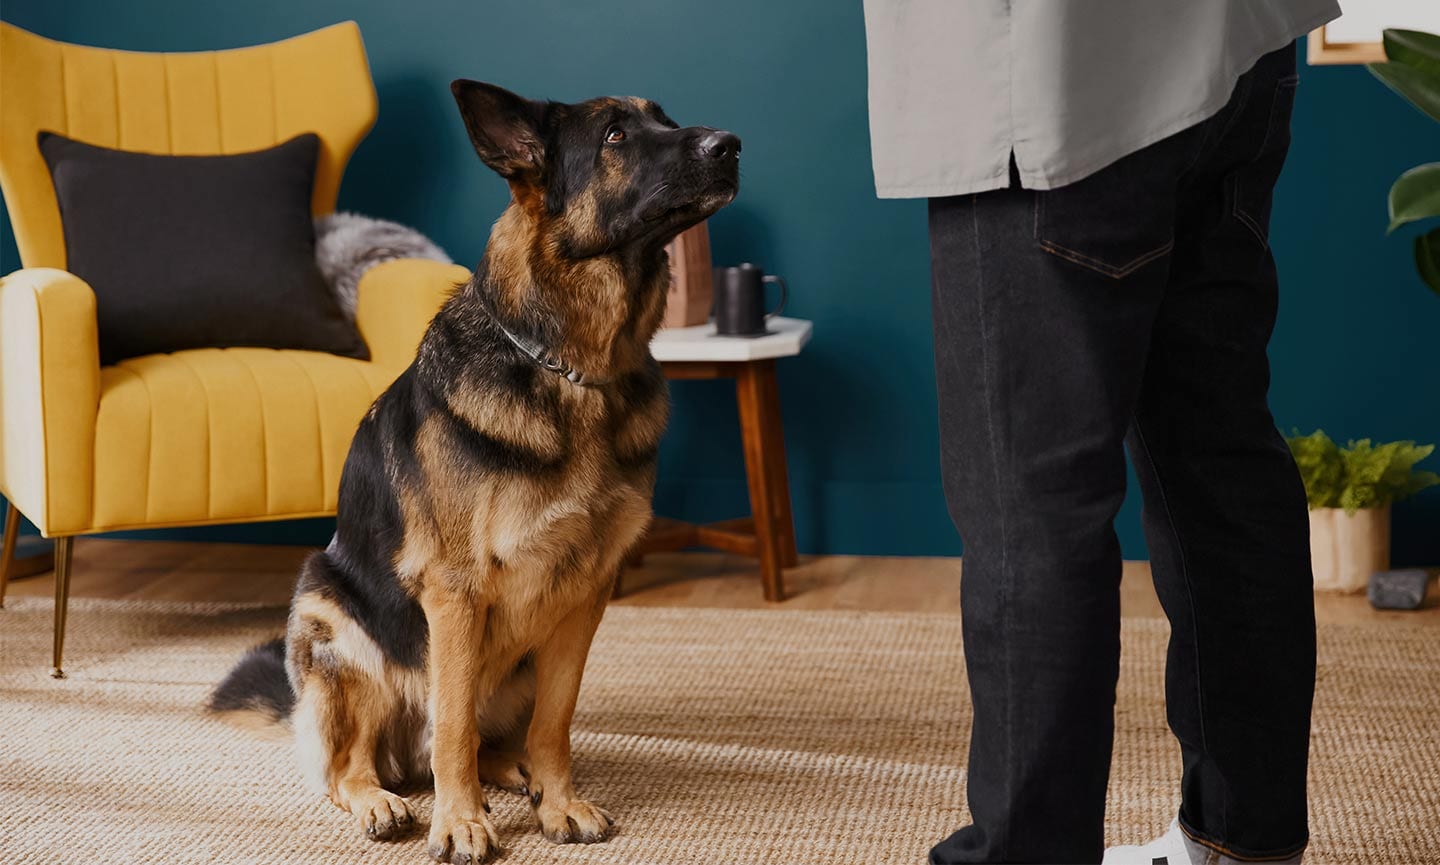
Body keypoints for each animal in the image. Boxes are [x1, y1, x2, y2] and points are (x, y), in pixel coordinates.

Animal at [213, 77, 743, 857]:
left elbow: (556, 719)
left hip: (517, 662)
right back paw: (383, 800)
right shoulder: (456, 594)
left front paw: (557, 800)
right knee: (353, 765)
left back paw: (515, 772)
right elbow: (454, 726)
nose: (730, 144)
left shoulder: (585, 596)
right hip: (333, 628)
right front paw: (460, 822)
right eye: (614, 136)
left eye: (665, 120)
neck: (572, 370)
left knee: (491, 738)